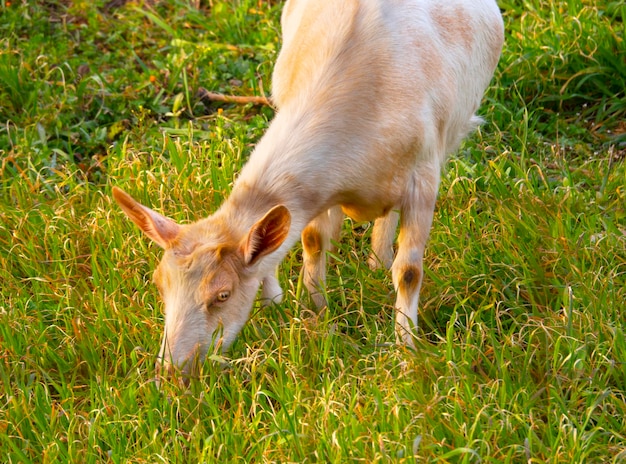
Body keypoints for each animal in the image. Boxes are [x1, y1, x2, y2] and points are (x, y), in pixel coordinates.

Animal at [112, 0, 502, 378]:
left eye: (222, 295)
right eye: (159, 283)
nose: (171, 371)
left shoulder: (423, 176)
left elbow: (408, 272)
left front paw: (406, 350)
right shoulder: (317, 190)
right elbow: (311, 241)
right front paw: (314, 311)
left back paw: (378, 262)